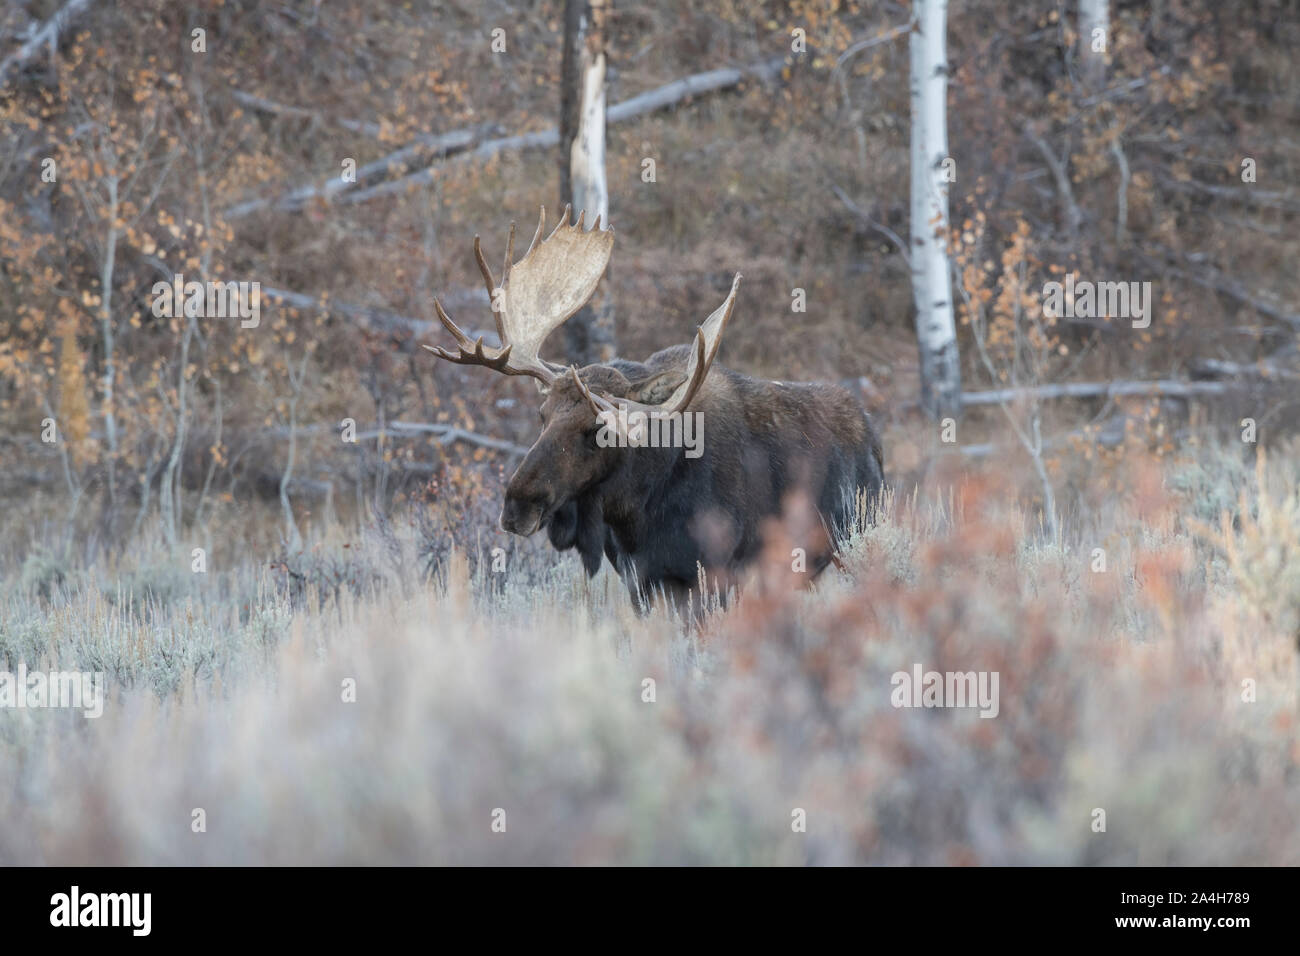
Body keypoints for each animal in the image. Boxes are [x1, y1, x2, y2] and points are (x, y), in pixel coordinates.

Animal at [423, 209, 883, 613]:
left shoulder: (717, 574)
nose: (517, 505)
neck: (636, 512)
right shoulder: (640, 581)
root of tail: (872, 434)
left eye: (599, 430)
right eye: (542, 415)